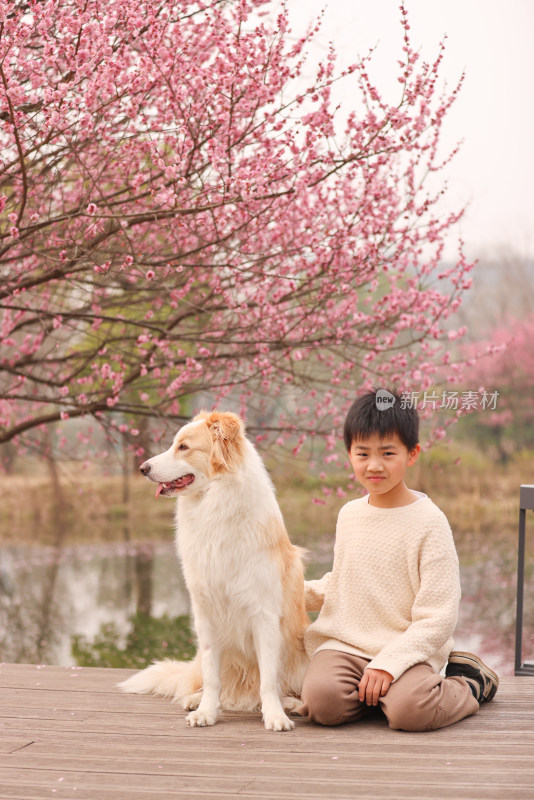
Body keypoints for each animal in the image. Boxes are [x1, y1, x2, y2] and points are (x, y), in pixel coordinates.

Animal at [117, 412, 310, 732]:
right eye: (174, 444)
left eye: (183, 447)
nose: (143, 468)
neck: (216, 505)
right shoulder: (206, 615)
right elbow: (212, 677)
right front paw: (206, 711)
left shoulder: (264, 616)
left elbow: (269, 679)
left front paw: (275, 715)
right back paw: (196, 698)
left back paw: (291, 703)